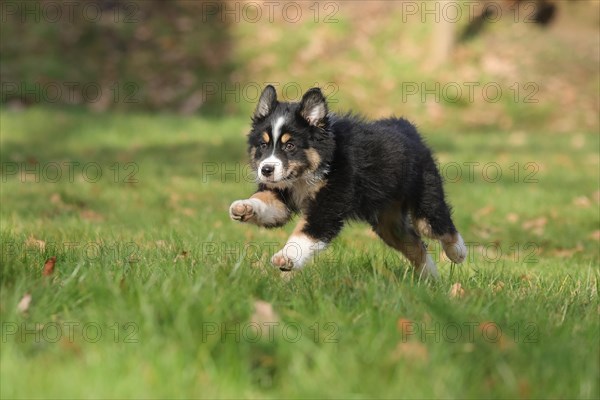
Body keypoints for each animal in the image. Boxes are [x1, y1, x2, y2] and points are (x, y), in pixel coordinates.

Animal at [227, 85, 466, 278]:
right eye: (263, 145)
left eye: (290, 146)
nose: (266, 170)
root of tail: (407, 127)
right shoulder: (281, 195)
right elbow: (264, 201)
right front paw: (243, 207)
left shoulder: (329, 204)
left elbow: (307, 232)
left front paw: (287, 257)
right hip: (389, 223)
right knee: (415, 245)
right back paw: (430, 280)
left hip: (425, 199)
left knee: (440, 226)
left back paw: (458, 253)